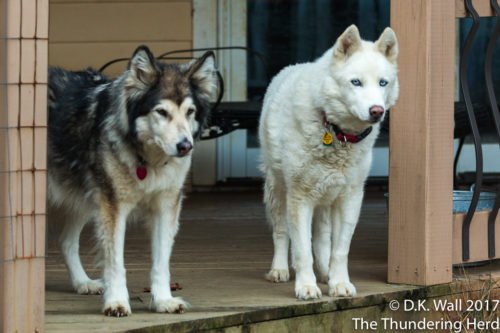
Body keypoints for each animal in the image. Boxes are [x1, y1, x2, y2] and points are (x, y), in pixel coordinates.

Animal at [260, 25, 400, 298]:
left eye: (383, 83)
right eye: (356, 82)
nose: (377, 111)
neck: (337, 132)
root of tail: (291, 66)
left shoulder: (350, 199)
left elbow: (339, 249)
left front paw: (339, 283)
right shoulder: (299, 198)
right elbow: (302, 249)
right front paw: (306, 286)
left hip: (326, 197)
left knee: (322, 238)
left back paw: (324, 273)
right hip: (277, 190)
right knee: (280, 232)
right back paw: (279, 270)